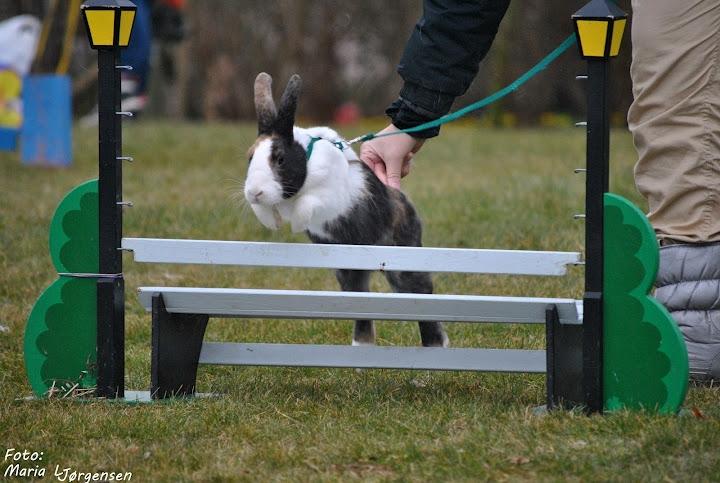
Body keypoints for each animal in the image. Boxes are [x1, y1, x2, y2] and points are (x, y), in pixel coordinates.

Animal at [245, 73, 448, 348]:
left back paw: (436, 344)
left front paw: (297, 223)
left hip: (402, 263)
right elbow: (265, 211)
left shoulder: (328, 197)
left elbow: (308, 204)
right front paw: (272, 223)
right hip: (349, 272)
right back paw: (362, 344)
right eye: (250, 157)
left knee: (421, 293)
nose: (254, 191)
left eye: (280, 159)